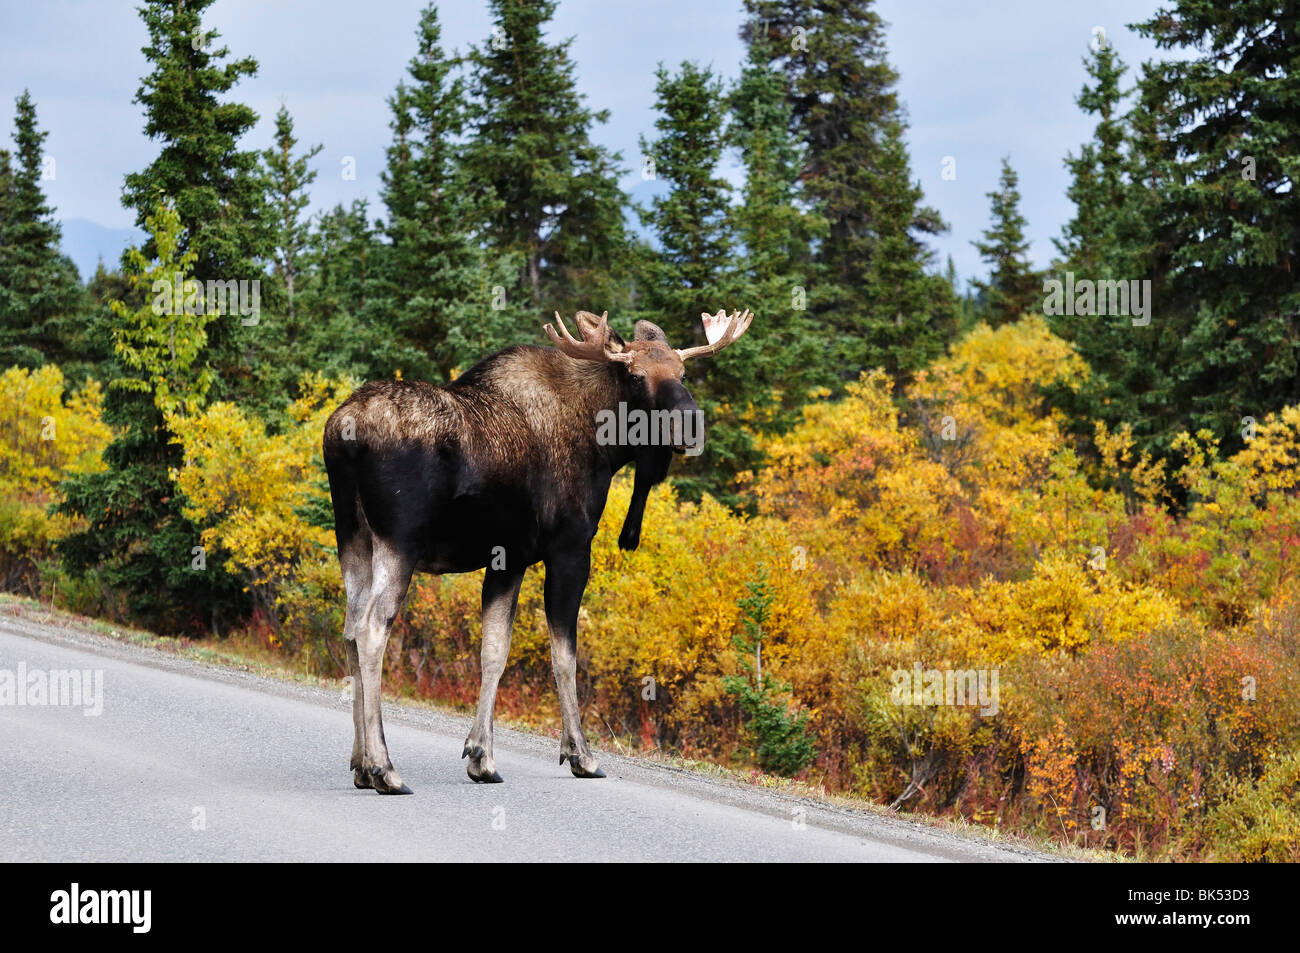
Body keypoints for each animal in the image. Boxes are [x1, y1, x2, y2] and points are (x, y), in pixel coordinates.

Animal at [322, 308, 753, 793]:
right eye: (636, 375)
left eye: (682, 372)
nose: (690, 426)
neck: (606, 447)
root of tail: (343, 432)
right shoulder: (569, 550)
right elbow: (564, 656)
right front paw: (580, 754)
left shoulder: (507, 559)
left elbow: (494, 651)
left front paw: (481, 757)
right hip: (400, 541)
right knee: (371, 629)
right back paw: (384, 767)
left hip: (352, 537)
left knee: (350, 627)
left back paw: (361, 765)